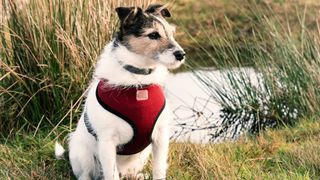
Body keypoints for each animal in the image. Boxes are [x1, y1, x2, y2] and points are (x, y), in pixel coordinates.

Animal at [55, 4, 185, 180]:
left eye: (171, 33)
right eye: (153, 35)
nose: (181, 54)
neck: (138, 81)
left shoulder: (160, 136)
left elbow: (158, 170)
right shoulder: (107, 142)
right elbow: (111, 174)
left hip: (142, 155)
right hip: (83, 153)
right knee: (86, 174)